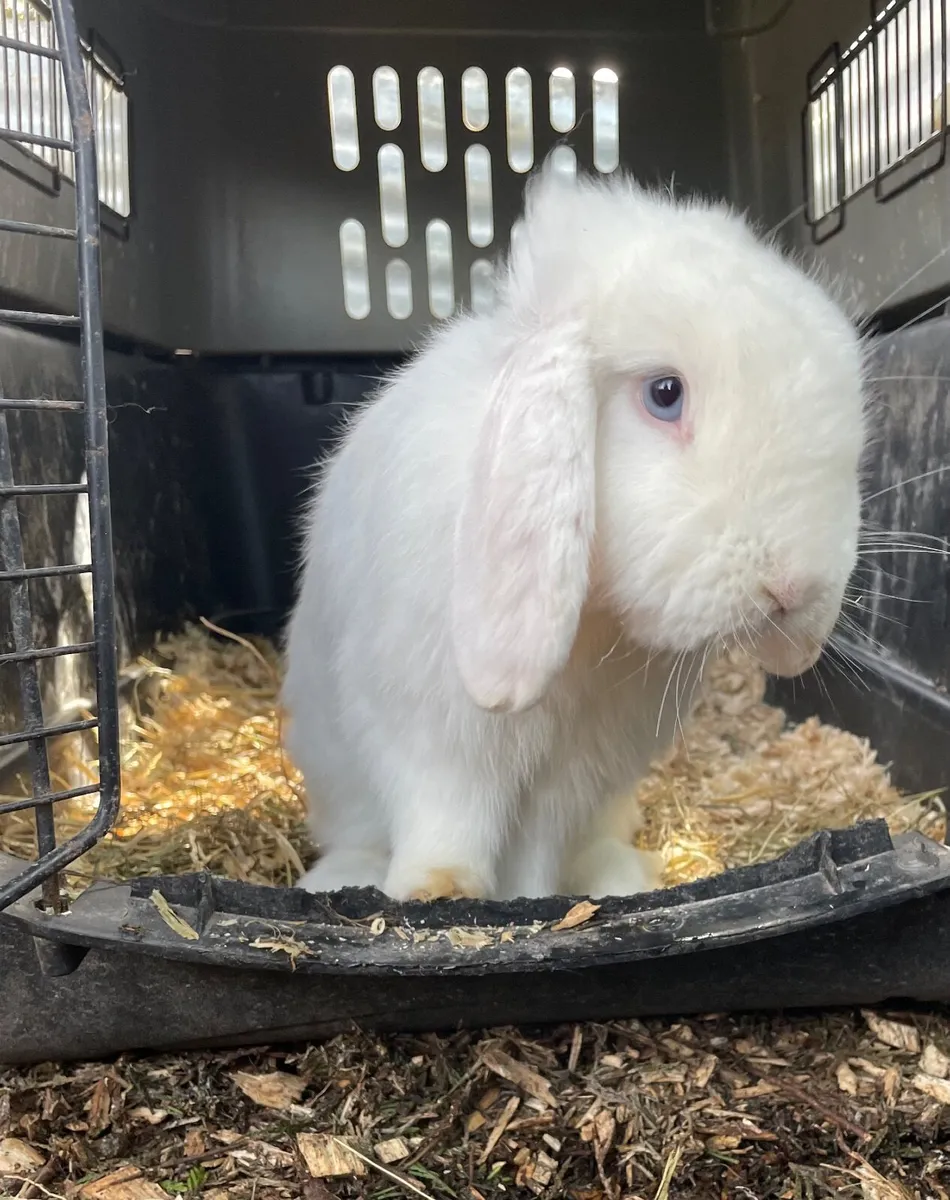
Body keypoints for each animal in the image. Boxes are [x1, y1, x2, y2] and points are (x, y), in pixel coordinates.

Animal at [282, 159, 867, 902]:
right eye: (664, 394)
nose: (794, 587)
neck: (592, 615)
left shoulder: (575, 774)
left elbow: (538, 847)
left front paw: (534, 903)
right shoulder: (429, 735)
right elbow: (444, 821)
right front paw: (439, 895)